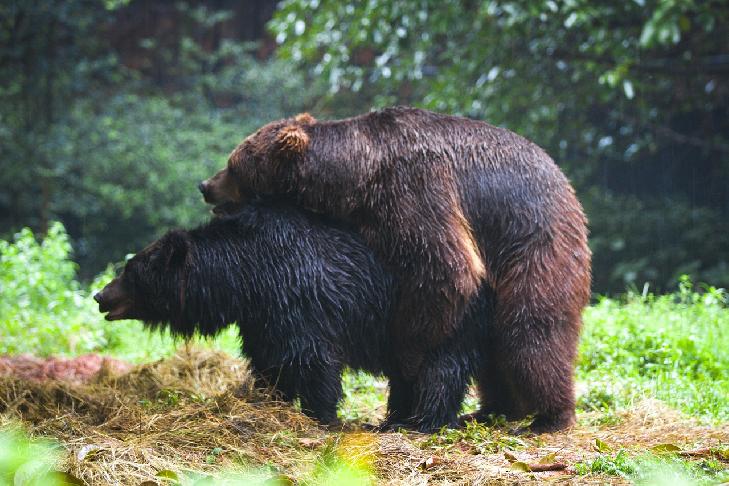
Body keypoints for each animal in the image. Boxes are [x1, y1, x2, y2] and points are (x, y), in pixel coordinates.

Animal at [96, 201, 492, 432]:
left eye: (130, 271)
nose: (101, 296)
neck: (245, 279)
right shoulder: (261, 319)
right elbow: (269, 360)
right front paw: (271, 399)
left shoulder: (299, 298)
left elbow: (312, 359)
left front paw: (322, 415)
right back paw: (396, 417)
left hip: (438, 316)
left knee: (439, 369)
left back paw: (420, 422)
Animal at [199, 106, 592, 432]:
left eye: (233, 165)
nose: (205, 186)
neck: (357, 176)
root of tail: (570, 192)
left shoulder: (413, 188)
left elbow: (446, 269)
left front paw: (408, 362)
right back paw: (492, 409)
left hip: (533, 248)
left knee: (531, 335)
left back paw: (549, 417)